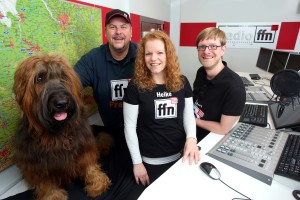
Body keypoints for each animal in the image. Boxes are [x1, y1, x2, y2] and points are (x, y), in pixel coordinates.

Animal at [12, 54, 111, 199]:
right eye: (39, 78)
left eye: (63, 76)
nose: (62, 103)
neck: (57, 133)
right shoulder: (36, 164)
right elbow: (45, 184)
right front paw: (53, 196)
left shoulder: (84, 146)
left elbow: (90, 165)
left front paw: (97, 183)